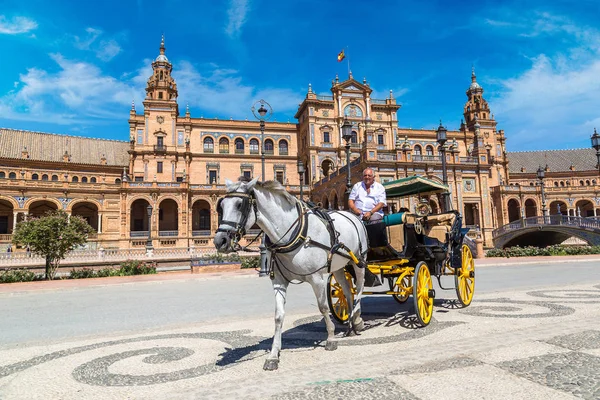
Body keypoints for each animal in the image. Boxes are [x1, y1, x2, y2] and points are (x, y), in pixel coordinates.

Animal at [213, 178, 368, 372]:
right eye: (221, 206)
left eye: (240, 205)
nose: (220, 241)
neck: (290, 236)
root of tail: (353, 215)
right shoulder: (279, 281)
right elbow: (278, 316)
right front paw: (273, 355)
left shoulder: (316, 279)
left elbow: (323, 307)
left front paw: (331, 339)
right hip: (338, 266)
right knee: (347, 291)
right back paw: (351, 320)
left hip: (359, 261)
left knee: (359, 288)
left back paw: (358, 320)